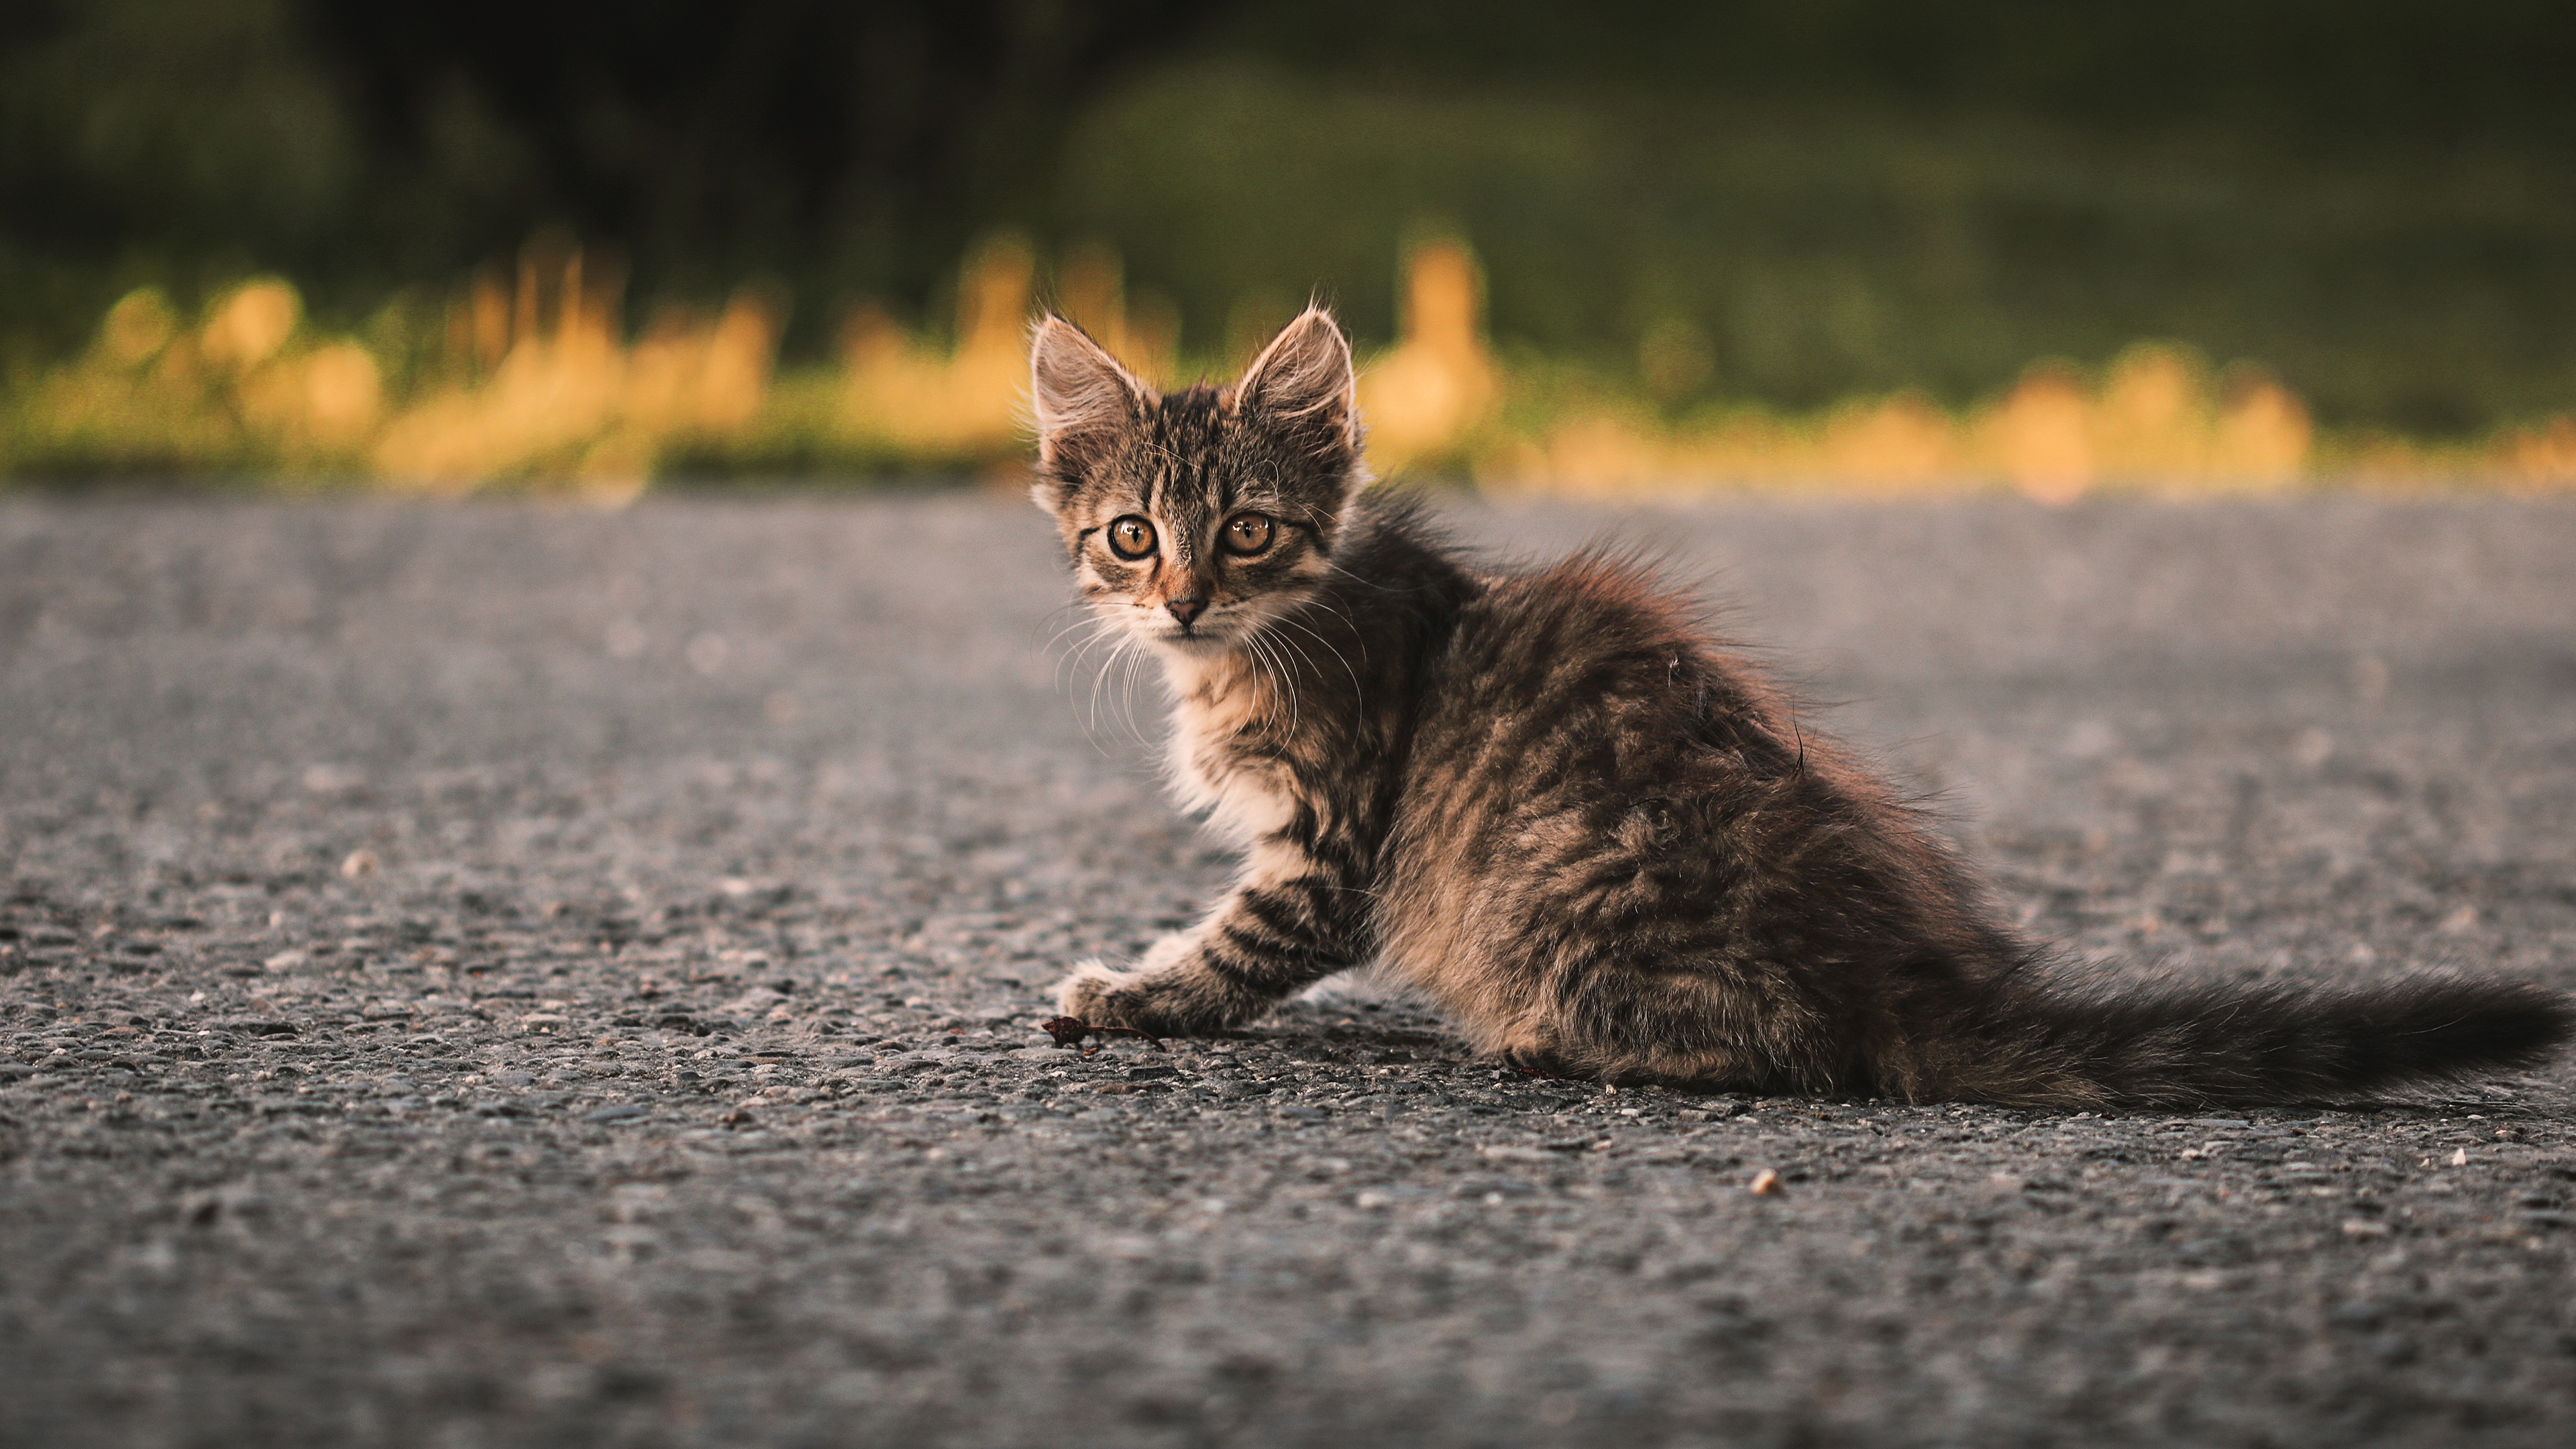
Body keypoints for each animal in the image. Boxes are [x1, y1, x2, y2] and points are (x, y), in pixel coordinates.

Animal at [1025, 301, 2576, 1093]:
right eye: (1133, 536)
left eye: (1246, 532)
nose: (1183, 599)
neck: (1258, 641)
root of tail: (1903, 973)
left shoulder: (1337, 836)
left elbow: (1241, 947)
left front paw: (1132, 997)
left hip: (1581, 890)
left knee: (1780, 1048)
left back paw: (1552, 1036)